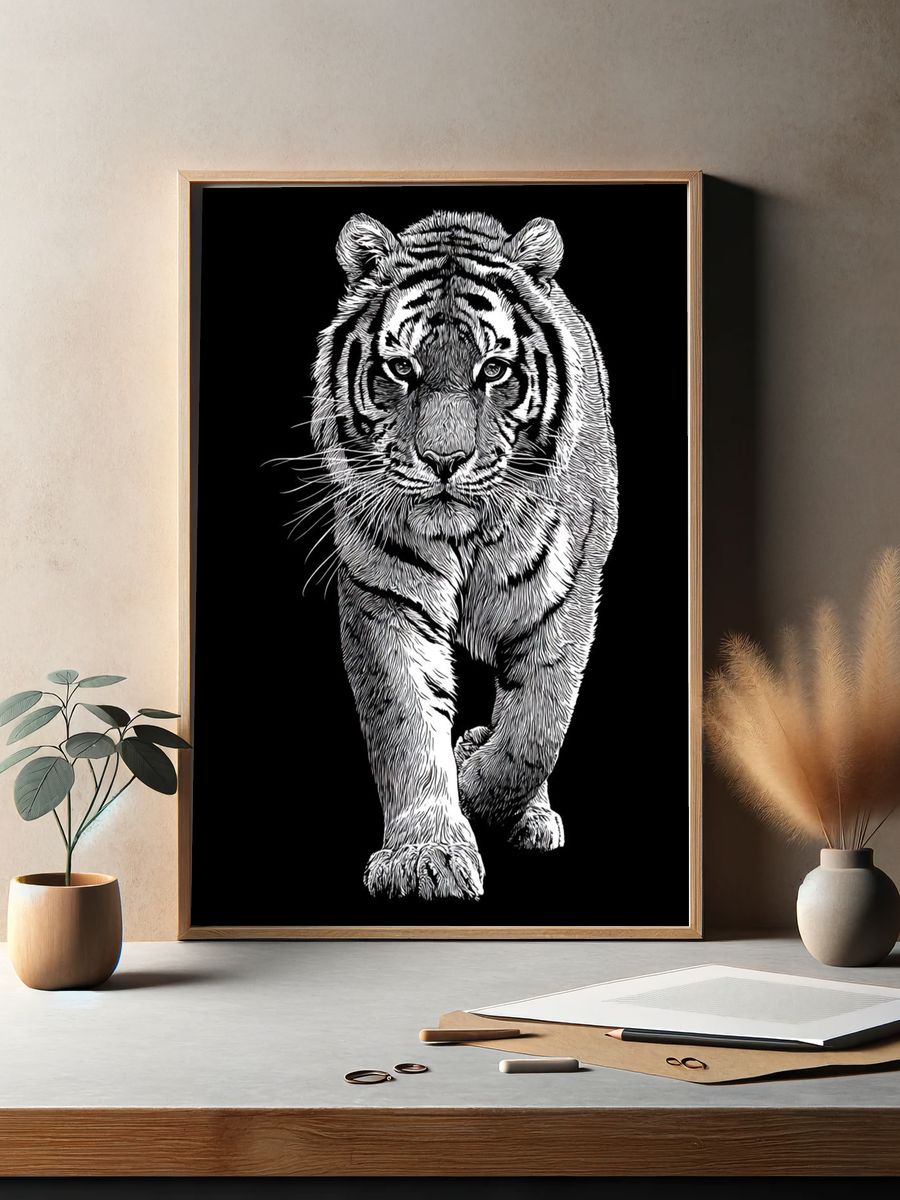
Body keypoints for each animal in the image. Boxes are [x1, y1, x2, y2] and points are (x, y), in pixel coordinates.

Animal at [310, 209, 618, 901]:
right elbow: (404, 724)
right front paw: (428, 855)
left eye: (494, 370)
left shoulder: (564, 602)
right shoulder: (383, 596)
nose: (444, 460)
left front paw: (476, 788)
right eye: (401, 369)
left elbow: (533, 734)